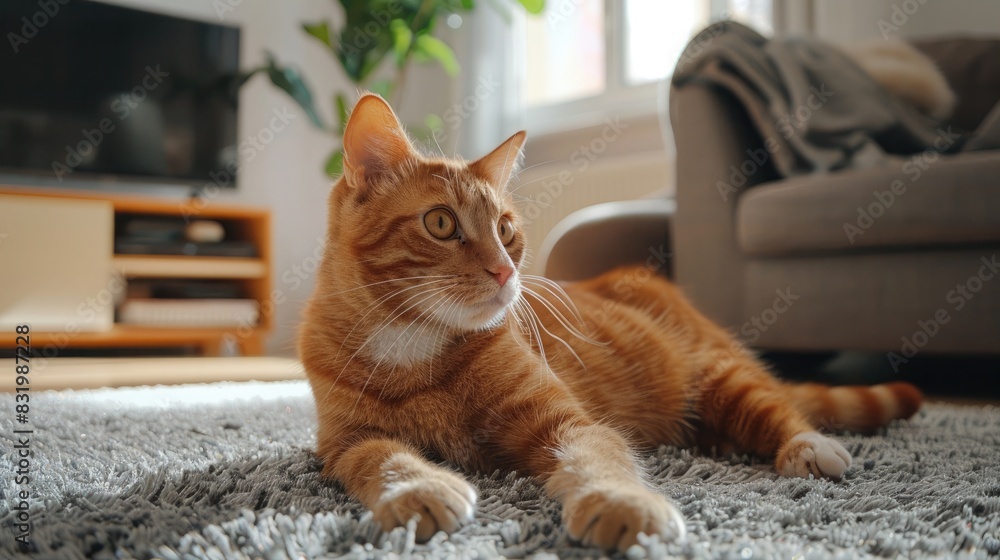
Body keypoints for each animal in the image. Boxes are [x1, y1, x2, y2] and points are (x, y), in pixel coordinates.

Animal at [298, 93, 920, 552]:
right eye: (441, 223)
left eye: (505, 229)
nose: (504, 270)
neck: (415, 347)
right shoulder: (343, 442)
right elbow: (384, 457)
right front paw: (418, 488)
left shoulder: (565, 422)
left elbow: (598, 459)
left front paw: (623, 504)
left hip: (719, 375)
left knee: (778, 407)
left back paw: (808, 448)